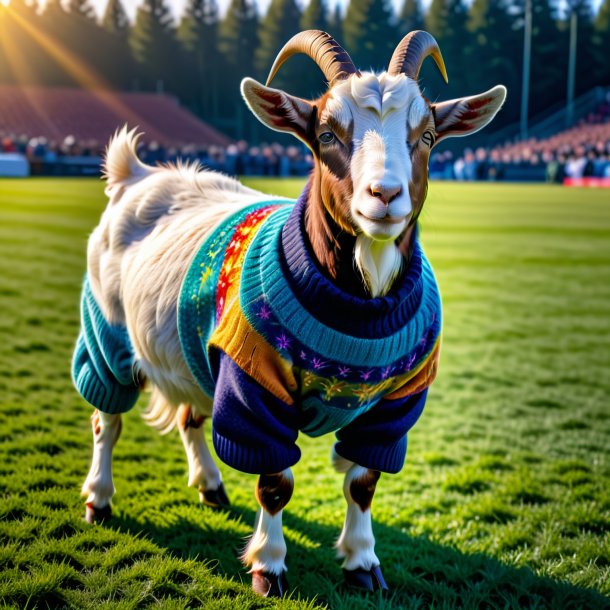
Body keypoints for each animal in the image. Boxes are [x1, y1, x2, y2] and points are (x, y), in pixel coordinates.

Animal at [73, 30, 504, 596]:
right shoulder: (252, 382)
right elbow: (275, 481)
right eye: (326, 133)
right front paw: (269, 567)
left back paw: (210, 487)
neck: (357, 309)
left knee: (190, 415)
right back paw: (99, 499)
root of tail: (137, 175)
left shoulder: (396, 405)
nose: (385, 195)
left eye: (428, 135)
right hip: (106, 332)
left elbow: (364, 480)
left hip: (189, 351)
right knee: (107, 418)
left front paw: (363, 563)